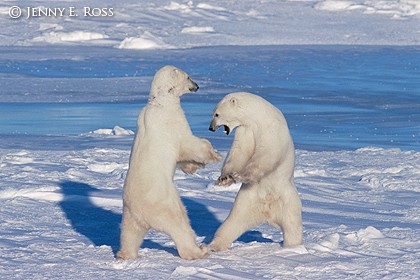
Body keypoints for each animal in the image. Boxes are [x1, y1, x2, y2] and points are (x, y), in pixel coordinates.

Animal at [116, 65, 221, 260]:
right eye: (188, 77)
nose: (197, 86)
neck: (159, 102)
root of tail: (143, 214)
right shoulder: (173, 122)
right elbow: (189, 143)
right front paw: (214, 154)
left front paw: (193, 167)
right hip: (165, 204)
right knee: (180, 224)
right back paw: (199, 250)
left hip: (129, 214)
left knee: (129, 234)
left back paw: (125, 254)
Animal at [208, 92, 302, 252]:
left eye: (217, 114)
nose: (210, 128)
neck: (259, 117)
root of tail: (268, 213)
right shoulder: (246, 130)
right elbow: (239, 152)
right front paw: (224, 178)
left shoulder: (271, 130)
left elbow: (266, 155)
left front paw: (239, 175)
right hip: (247, 201)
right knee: (232, 222)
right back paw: (214, 246)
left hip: (288, 202)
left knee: (292, 226)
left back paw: (293, 248)